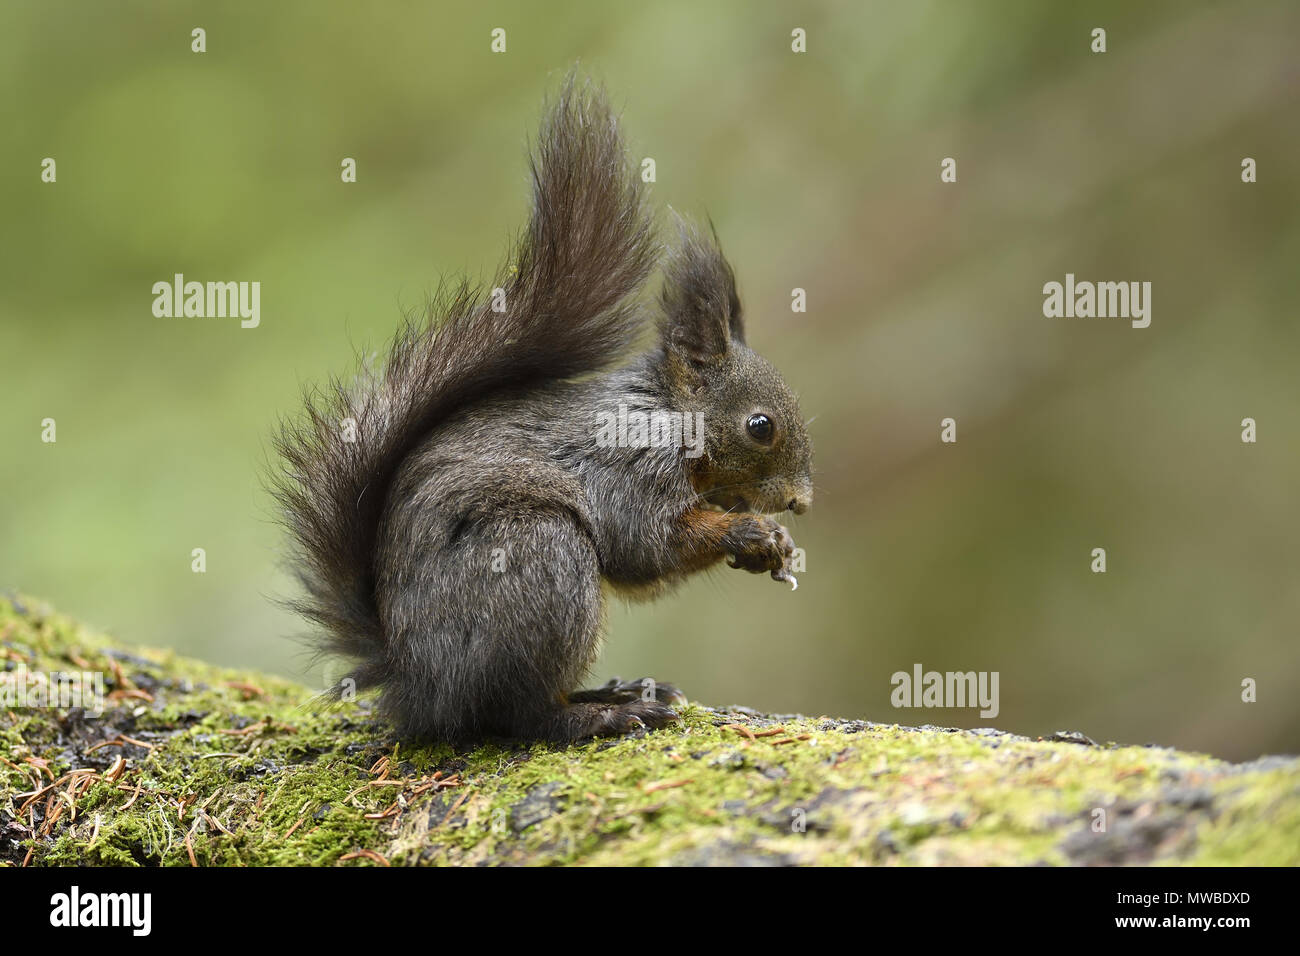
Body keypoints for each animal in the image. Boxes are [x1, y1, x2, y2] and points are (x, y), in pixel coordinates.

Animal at [272, 74, 813, 744]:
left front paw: (775, 542)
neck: (665, 413)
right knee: (516, 714)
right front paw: (751, 531)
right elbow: (648, 544)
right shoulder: (629, 467)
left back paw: (615, 690)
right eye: (760, 427)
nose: (801, 500)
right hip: (539, 557)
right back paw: (606, 713)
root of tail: (414, 684)